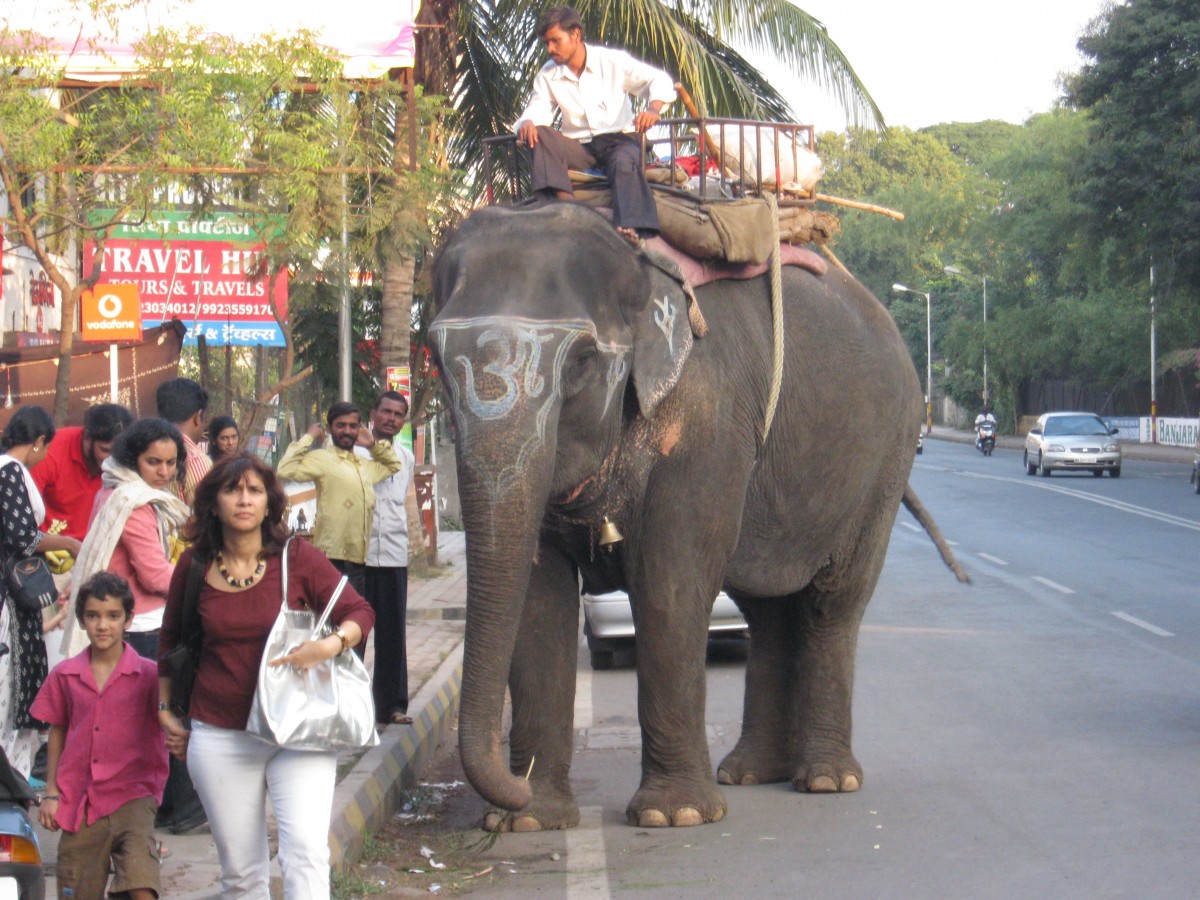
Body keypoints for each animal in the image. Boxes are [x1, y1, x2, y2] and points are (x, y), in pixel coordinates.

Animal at [432, 199, 926, 830]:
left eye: (582, 361)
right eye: (435, 359)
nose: (506, 793)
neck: (632, 257)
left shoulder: (705, 422)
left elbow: (670, 585)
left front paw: (677, 816)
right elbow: (537, 599)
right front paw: (532, 818)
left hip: (885, 461)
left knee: (833, 603)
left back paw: (826, 780)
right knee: (766, 608)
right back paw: (751, 772)